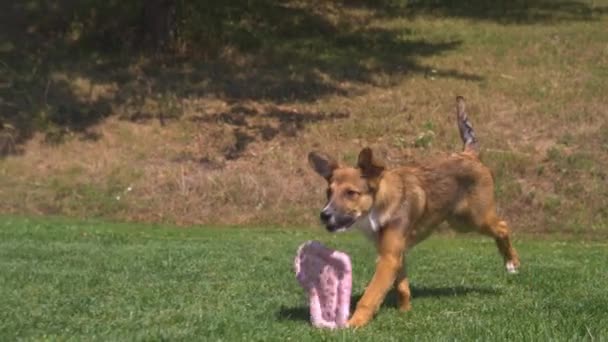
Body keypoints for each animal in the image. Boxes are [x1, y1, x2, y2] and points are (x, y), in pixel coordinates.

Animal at [312, 96, 520, 328]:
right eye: (328, 192)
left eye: (351, 193)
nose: (324, 215)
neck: (380, 204)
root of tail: (469, 154)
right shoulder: (395, 254)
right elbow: (402, 287)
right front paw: (405, 312)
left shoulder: (388, 258)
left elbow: (371, 295)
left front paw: (354, 323)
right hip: (460, 221)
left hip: (474, 219)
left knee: (503, 227)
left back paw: (512, 263)